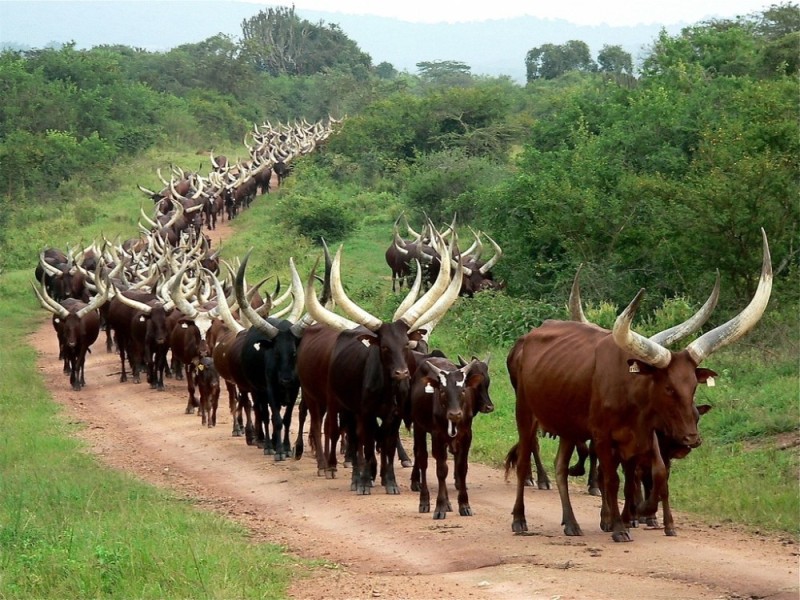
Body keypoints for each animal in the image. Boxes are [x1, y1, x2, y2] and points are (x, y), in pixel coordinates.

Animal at [298, 233, 462, 492]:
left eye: (406, 345)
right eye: (384, 347)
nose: (402, 374)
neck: (387, 390)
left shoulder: (394, 415)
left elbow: (388, 444)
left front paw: (389, 480)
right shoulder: (364, 412)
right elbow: (367, 443)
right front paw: (365, 480)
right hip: (339, 404)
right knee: (346, 435)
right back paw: (347, 473)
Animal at [406, 354, 494, 516]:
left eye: (463, 390)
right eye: (442, 391)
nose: (489, 407)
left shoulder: (466, 436)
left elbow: (461, 468)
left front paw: (464, 504)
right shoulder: (438, 436)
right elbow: (441, 470)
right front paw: (440, 506)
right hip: (419, 427)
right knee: (422, 459)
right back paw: (424, 499)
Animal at [504, 232, 772, 540]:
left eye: (694, 386)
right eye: (668, 388)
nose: (692, 439)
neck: (631, 396)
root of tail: (526, 339)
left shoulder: (640, 438)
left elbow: (646, 476)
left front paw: (635, 514)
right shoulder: (603, 436)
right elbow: (612, 479)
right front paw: (620, 526)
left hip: (568, 427)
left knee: (560, 467)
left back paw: (571, 523)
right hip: (526, 415)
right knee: (524, 460)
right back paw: (519, 519)